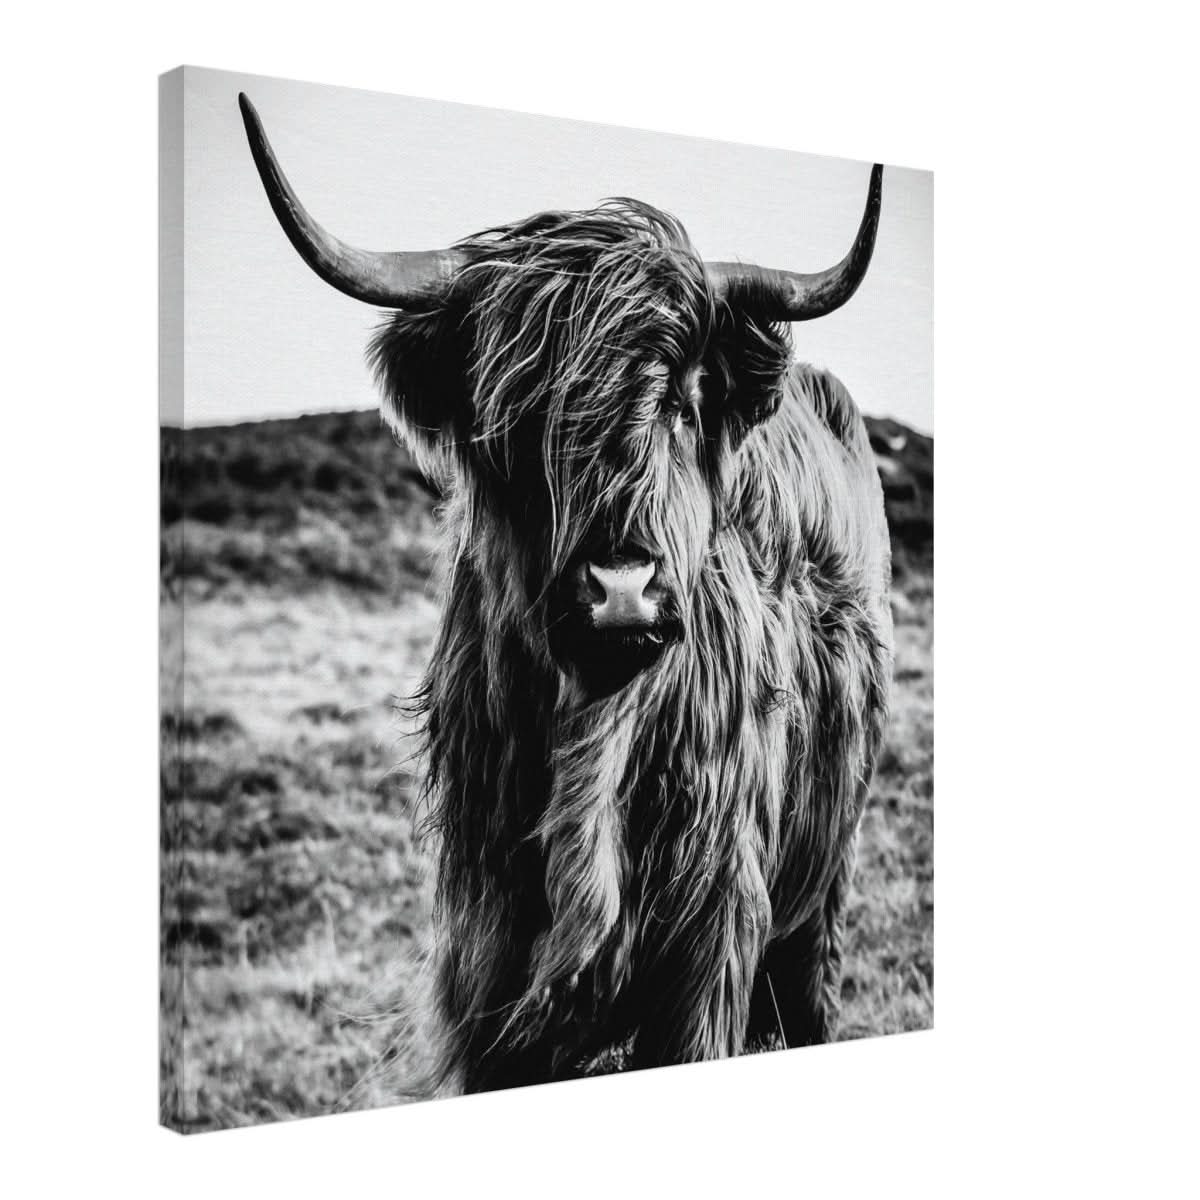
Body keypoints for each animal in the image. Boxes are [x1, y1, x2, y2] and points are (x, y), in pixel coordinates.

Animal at [240, 94, 894, 1094]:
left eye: (681, 401)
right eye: (518, 413)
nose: (622, 588)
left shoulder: (709, 946)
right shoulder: (489, 958)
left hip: (823, 881)